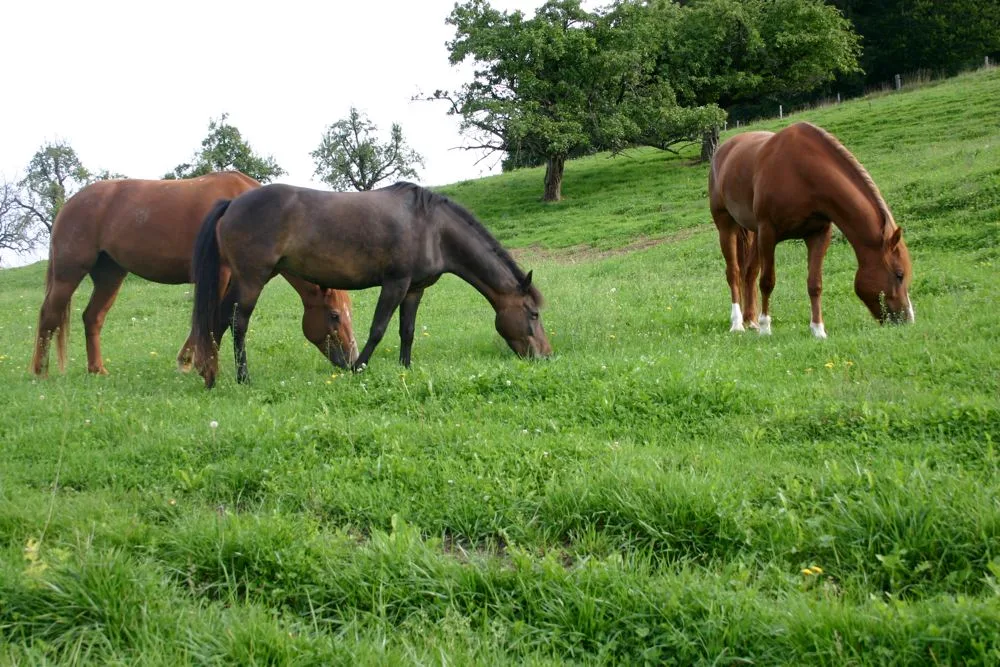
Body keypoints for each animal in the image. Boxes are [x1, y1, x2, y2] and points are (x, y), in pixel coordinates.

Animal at [30, 172, 358, 377]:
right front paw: (196, 363)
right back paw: (40, 373)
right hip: (69, 272)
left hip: (110, 275)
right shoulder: (222, 274)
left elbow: (217, 320)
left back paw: (97, 370)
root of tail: (70, 204)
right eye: (334, 316)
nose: (353, 361)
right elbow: (214, 319)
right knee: (49, 316)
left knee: (92, 318)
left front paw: (193, 361)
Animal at [190, 181, 551, 388]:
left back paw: (211, 376)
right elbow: (379, 328)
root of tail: (232, 204)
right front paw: (358, 368)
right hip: (253, 279)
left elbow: (407, 331)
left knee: (218, 321)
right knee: (237, 323)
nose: (546, 356)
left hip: (242, 279)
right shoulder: (395, 283)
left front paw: (405, 368)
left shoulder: (415, 288)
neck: (432, 228)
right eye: (533, 314)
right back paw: (242, 378)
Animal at [708, 121, 914, 337]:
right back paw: (737, 323)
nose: (907, 319)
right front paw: (766, 328)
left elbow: (815, 284)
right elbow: (767, 281)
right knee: (734, 272)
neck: (802, 172)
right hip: (726, 226)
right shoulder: (768, 232)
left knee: (749, 273)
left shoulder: (818, 234)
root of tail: (723, 150)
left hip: (753, 232)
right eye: (899, 275)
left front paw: (818, 329)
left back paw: (751, 321)